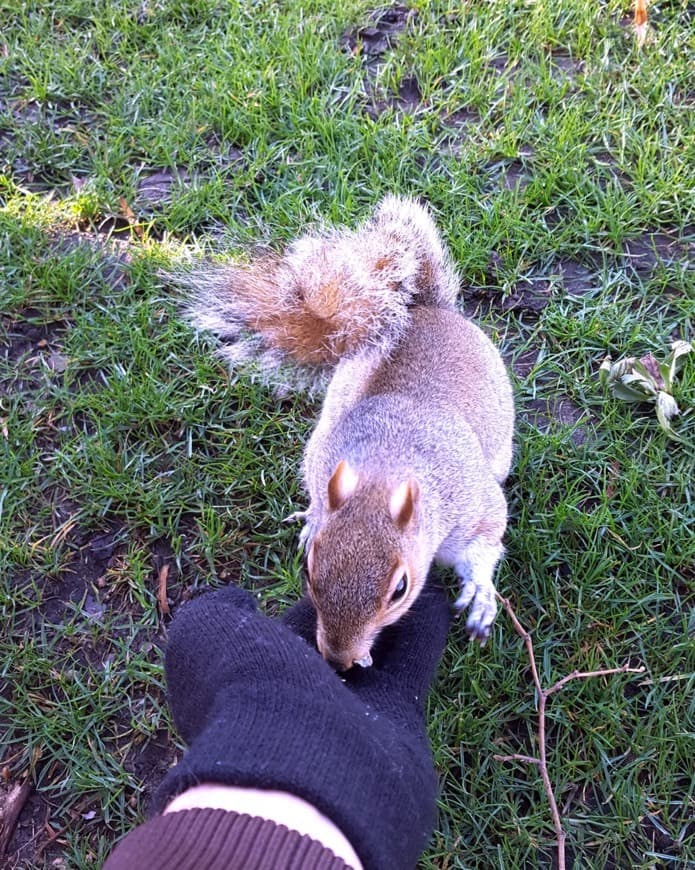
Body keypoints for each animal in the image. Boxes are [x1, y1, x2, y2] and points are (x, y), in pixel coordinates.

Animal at [182, 199, 512, 676]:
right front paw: (313, 521)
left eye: (400, 590)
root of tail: (426, 310)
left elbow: (487, 542)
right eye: (308, 571)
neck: (385, 469)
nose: (338, 660)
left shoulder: (473, 505)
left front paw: (480, 596)